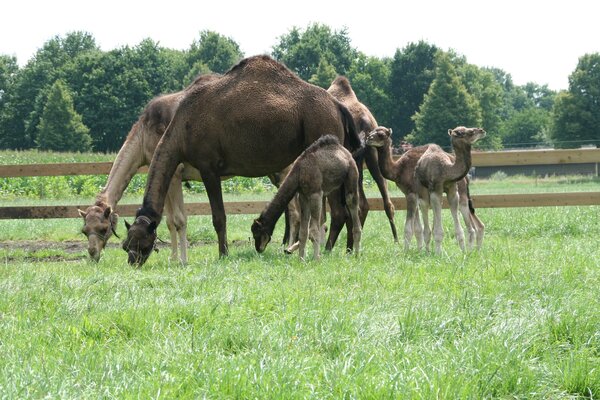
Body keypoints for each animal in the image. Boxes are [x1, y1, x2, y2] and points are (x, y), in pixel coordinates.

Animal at [119, 54, 358, 266]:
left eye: (141, 243)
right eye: (125, 244)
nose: (132, 261)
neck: (180, 129)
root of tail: (338, 106)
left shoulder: (208, 167)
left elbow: (219, 217)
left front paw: (223, 254)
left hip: (323, 134)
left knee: (339, 211)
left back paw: (330, 250)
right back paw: (346, 249)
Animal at [418, 126, 488, 255]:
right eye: (461, 133)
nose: (481, 130)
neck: (446, 170)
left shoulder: (453, 190)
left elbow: (459, 230)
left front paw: (464, 252)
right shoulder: (436, 190)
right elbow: (439, 230)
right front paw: (439, 254)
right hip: (422, 190)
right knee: (424, 207)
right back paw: (427, 251)